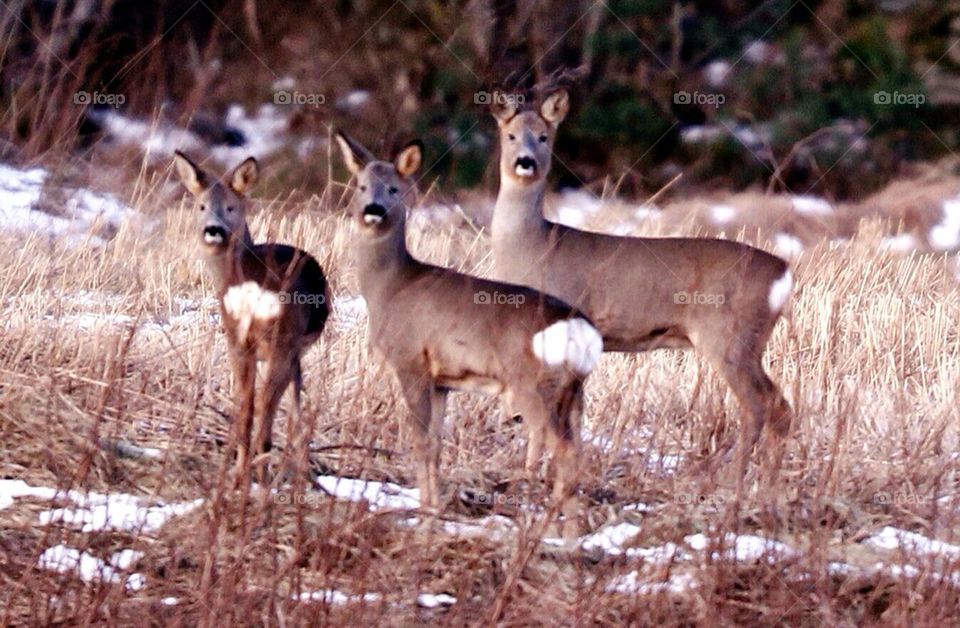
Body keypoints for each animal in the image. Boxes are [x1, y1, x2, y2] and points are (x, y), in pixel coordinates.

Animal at [172, 152, 330, 485]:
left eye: (231, 207)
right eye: (201, 206)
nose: (214, 230)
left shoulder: (247, 342)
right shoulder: (272, 346)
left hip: (263, 341)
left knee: (258, 409)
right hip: (279, 340)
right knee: (265, 410)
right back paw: (261, 470)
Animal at [334, 130, 602, 537]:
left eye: (394, 188)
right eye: (361, 185)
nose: (374, 210)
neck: (390, 287)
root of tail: (581, 329)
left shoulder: (411, 362)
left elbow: (419, 444)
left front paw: (424, 517)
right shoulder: (442, 381)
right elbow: (436, 446)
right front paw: (432, 510)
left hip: (534, 384)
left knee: (564, 451)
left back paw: (561, 535)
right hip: (573, 392)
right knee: (577, 451)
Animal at [489, 88, 794, 483]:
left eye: (544, 137)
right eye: (511, 136)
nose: (525, 162)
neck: (535, 245)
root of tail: (783, 272)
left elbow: (544, 412)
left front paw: (531, 472)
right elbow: (572, 411)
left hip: (729, 336)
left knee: (759, 405)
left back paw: (732, 479)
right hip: (747, 343)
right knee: (780, 407)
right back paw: (768, 482)